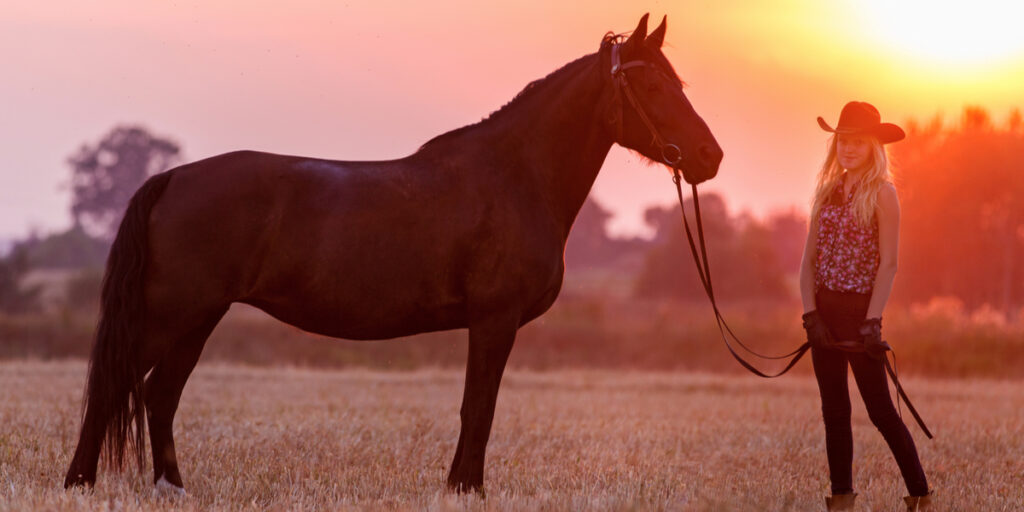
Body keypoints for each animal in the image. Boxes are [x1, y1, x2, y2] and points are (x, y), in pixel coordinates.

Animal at [66, 14, 720, 493]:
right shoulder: (494, 320)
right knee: (116, 386)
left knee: (159, 395)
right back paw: (78, 483)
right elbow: (478, 407)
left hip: (199, 317)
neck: (514, 176)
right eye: (652, 86)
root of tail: (174, 177)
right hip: (172, 313)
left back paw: (172, 488)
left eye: (680, 83)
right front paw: (466, 488)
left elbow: (477, 407)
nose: (709, 158)